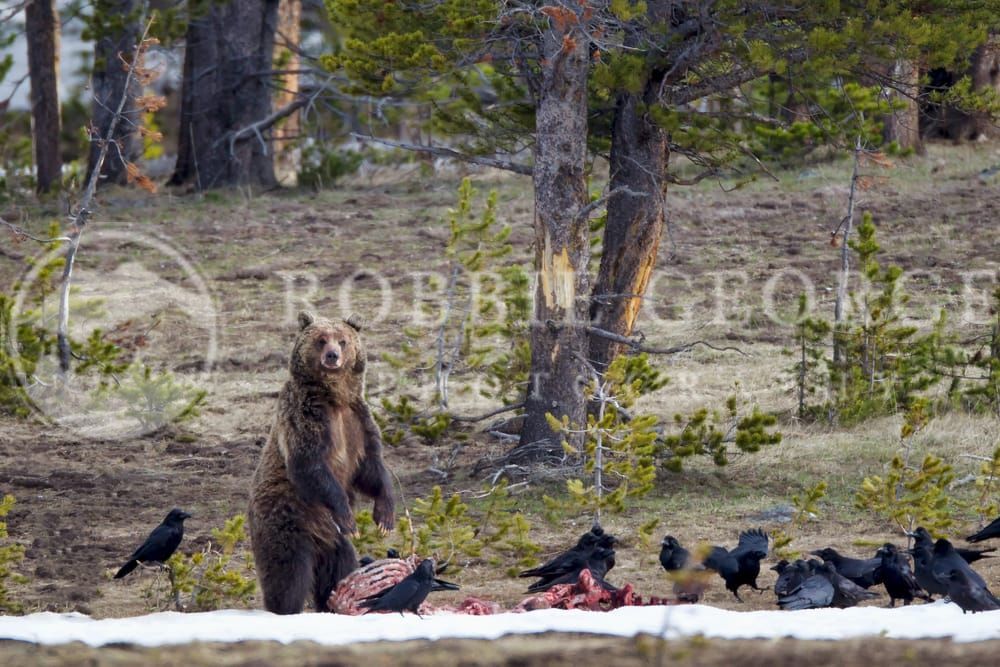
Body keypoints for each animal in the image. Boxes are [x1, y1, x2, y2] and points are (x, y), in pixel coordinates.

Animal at [248, 311, 395, 614]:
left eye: (343, 340)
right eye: (320, 339)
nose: (332, 355)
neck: (334, 398)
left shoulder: (358, 422)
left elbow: (371, 468)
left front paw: (385, 516)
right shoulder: (306, 419)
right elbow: (311, 466)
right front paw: (348, 517)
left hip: (332, 543)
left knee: (339, 567)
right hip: (287, 521)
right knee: (288, 574)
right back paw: (285, 608)